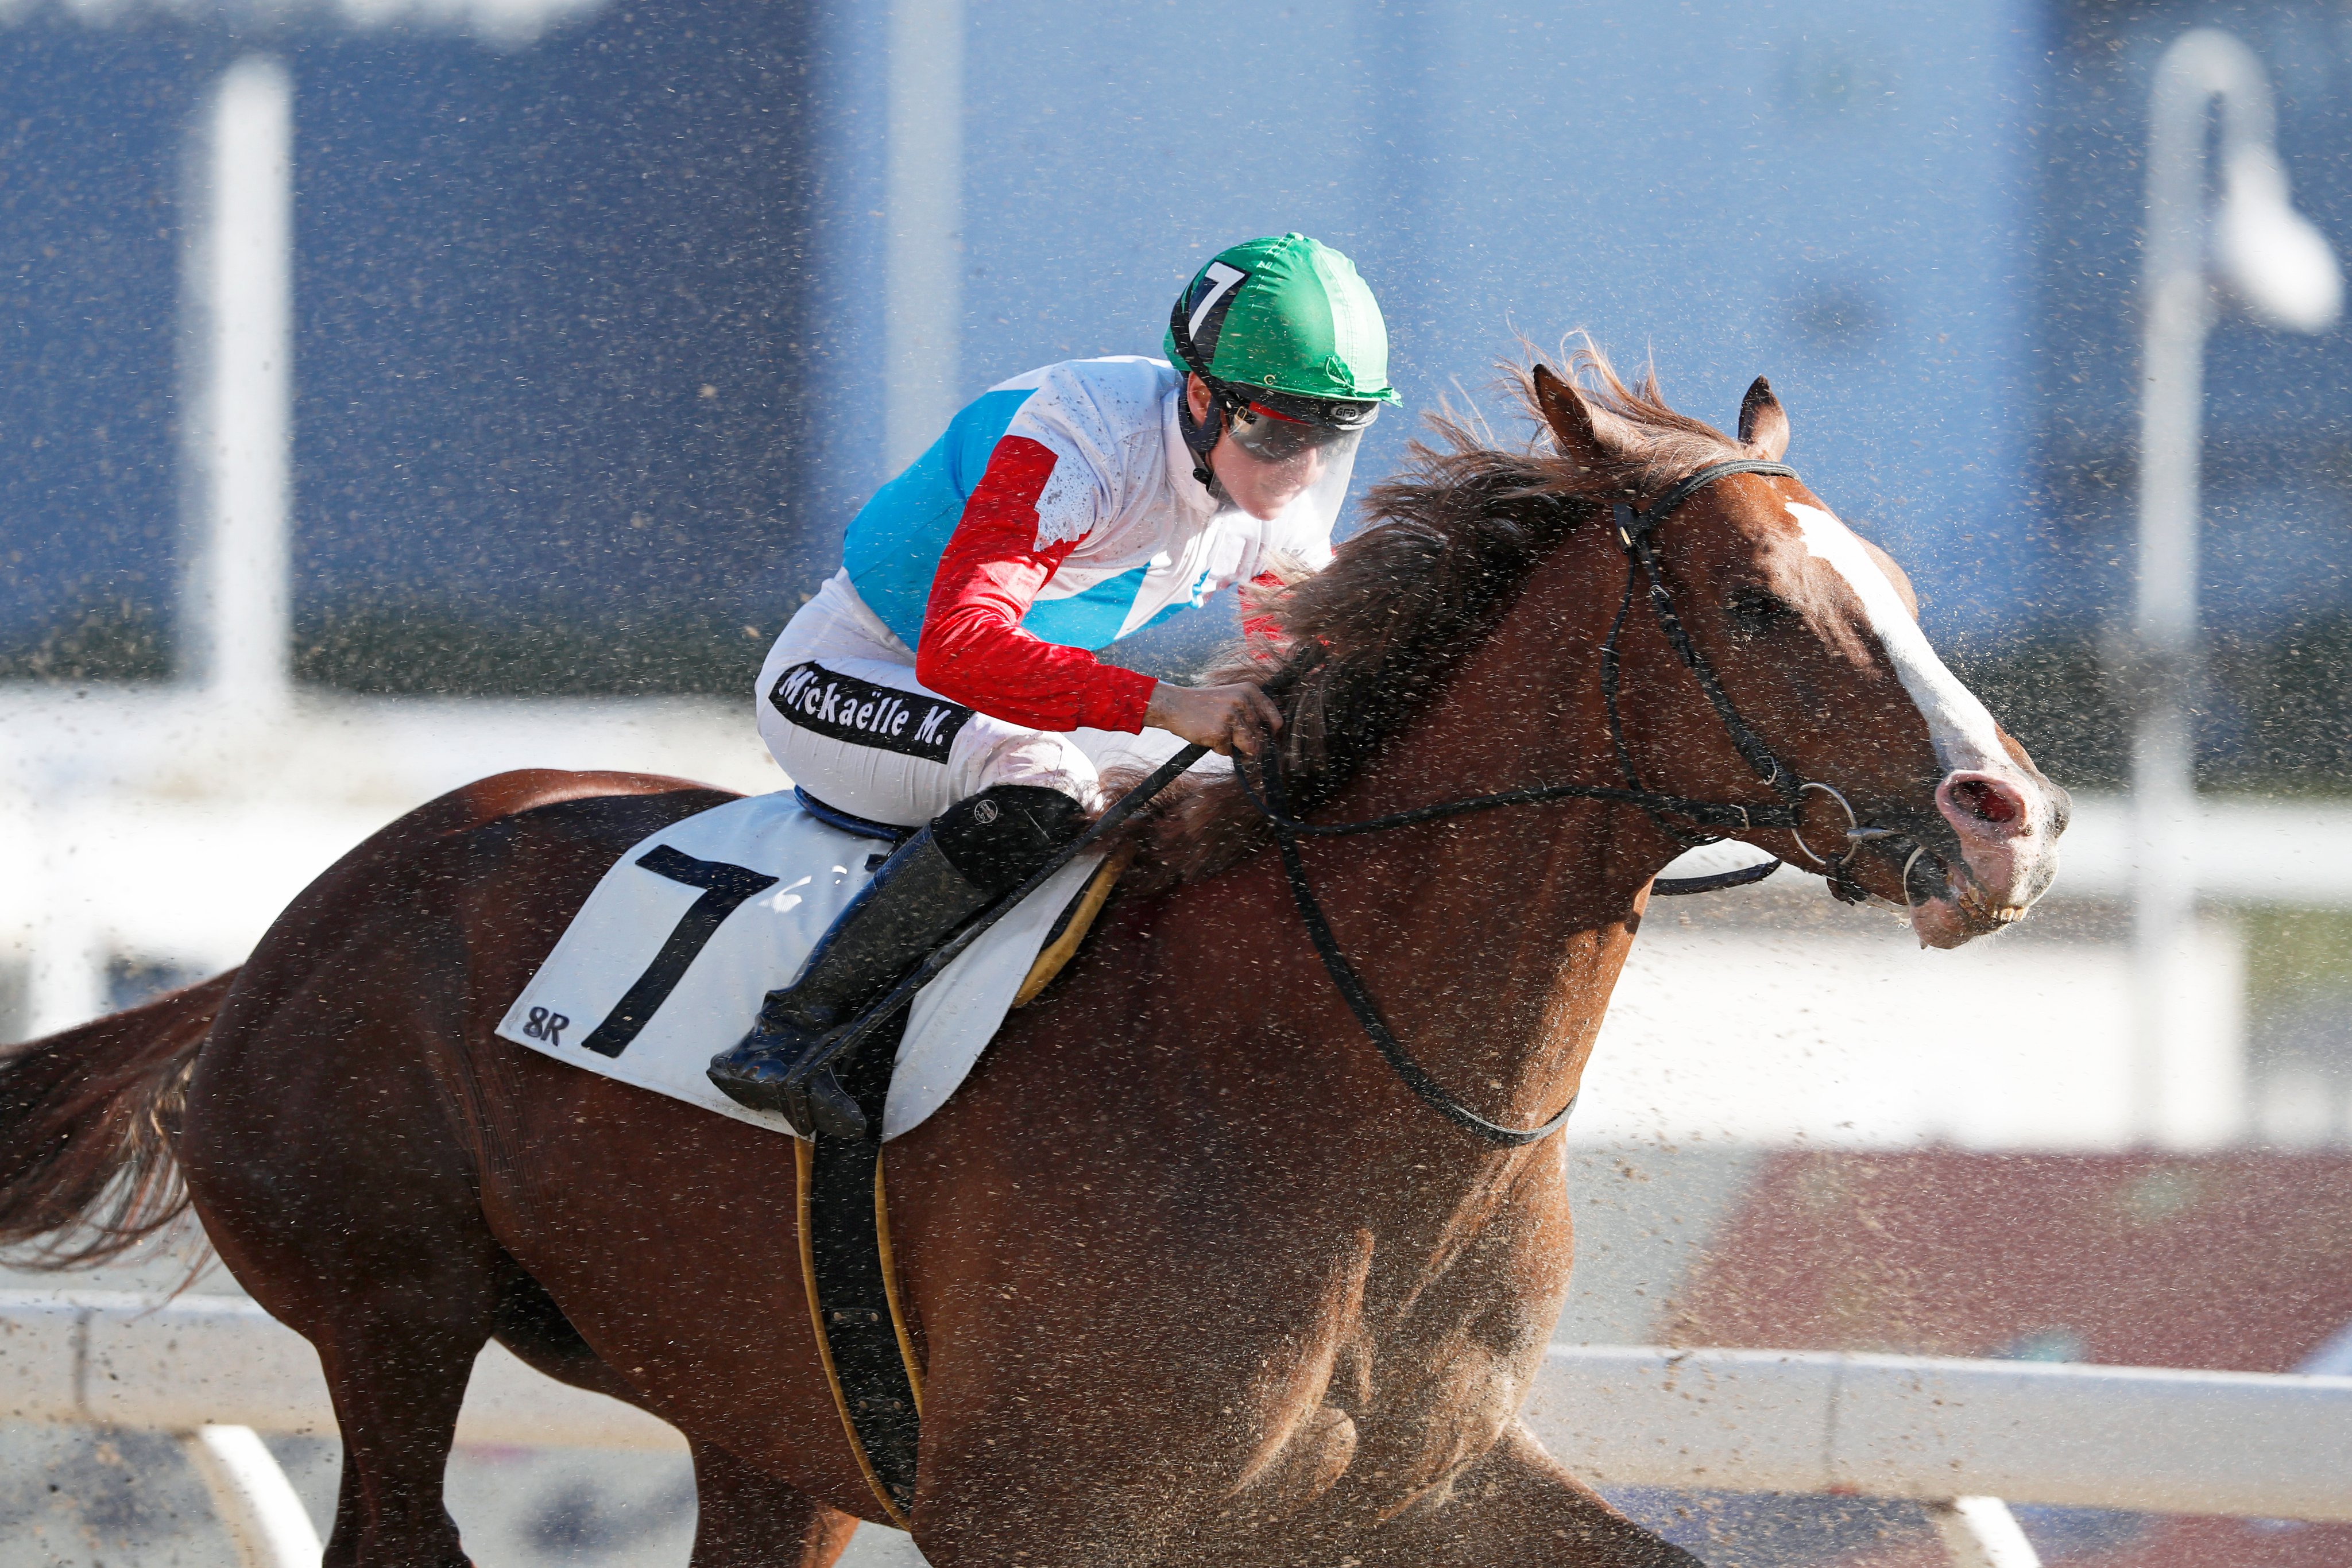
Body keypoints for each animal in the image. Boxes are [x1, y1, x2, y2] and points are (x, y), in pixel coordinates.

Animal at [0, 350, 2067, 1568]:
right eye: (1758, 600)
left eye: (1889, 582)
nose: (2007, 815)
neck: (1331, 1086)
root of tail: (301, 925)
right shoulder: (1039, 1506)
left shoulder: (1428, 1482)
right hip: (390, 1313)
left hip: (755, 1412)